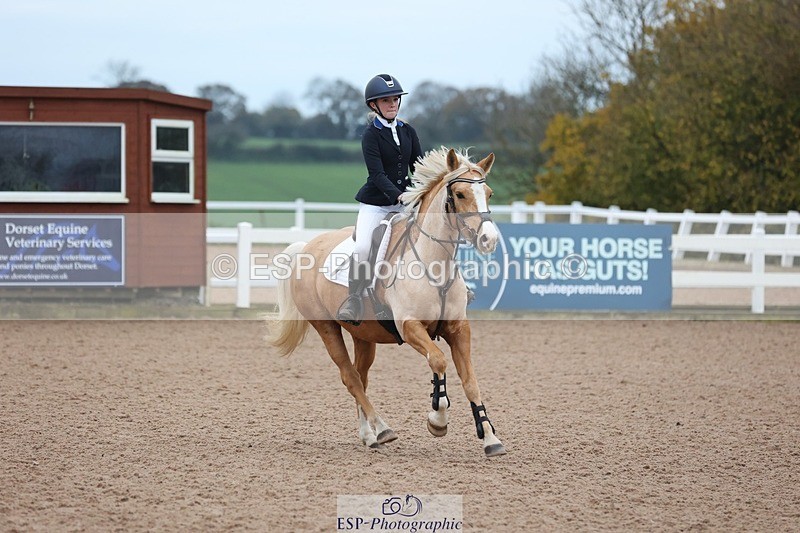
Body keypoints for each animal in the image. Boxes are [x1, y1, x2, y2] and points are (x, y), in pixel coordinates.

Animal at [266, 147, 506, 458]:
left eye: (488, 193)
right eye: (461, 194)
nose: (489, 240)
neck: (433, 263)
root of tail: (306, 247)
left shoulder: (458, 329)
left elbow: (471, 382)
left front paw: (490, 438)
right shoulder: (410, 327)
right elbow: (438, 360)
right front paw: (438, 420)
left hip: (363, 335)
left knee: (360, 377)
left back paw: (369, 435)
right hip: (326, 328)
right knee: (350, 377)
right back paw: (382, 428)